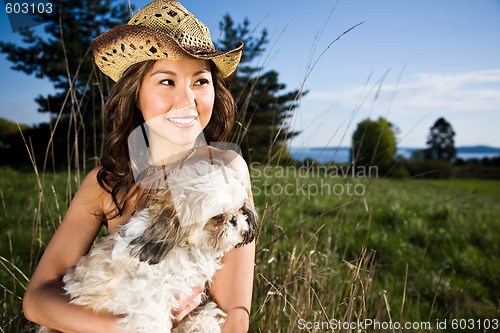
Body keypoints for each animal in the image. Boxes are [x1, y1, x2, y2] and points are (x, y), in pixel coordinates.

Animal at [38, 160, 256, 330]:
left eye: (240, 209)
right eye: (217, 217)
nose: (235, 219)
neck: (182, 246)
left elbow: (202, 314)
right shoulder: (148, 302)